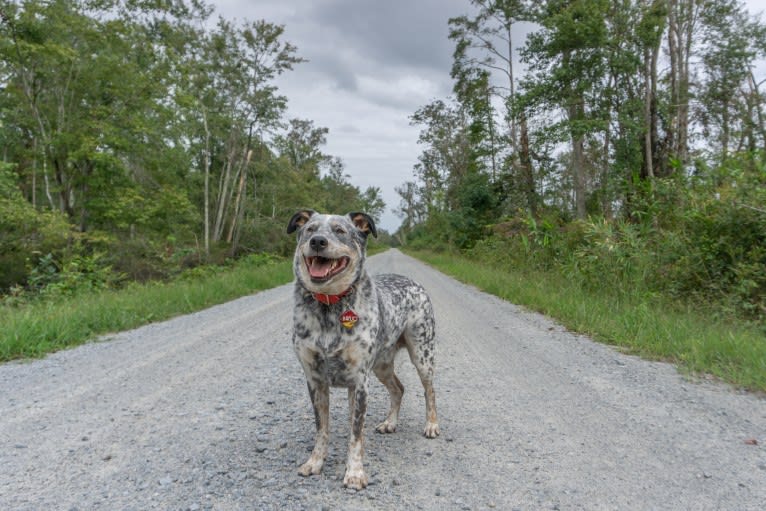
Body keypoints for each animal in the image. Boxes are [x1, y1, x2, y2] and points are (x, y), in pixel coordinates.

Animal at [286, 210, 440, 490]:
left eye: (340, 230)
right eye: (310, 229)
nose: (318, 241)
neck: (330, 305)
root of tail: (412, 281)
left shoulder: (359, 381)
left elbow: (356, 433)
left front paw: (355, 472)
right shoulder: (314, 380)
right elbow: (321, 428)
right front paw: (315, 462)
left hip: (422, 353)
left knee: (429, 390)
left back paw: (432, 425)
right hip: (381, 365)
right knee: (398, 388)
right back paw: (390, 423)